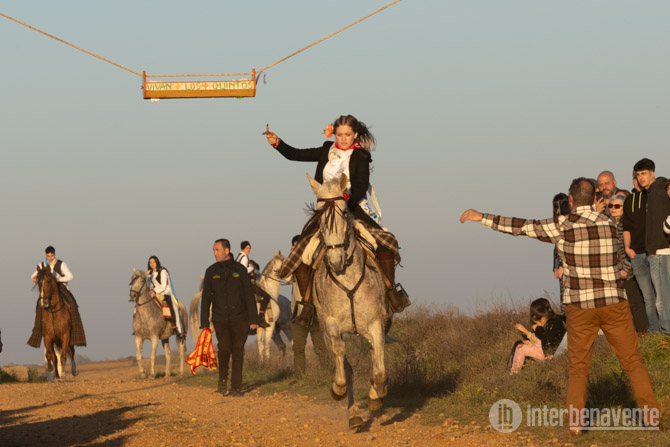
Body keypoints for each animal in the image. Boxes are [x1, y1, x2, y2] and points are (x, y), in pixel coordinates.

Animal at [306, 173, 391, 430]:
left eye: (344, 211)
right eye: (318, 214)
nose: (336, 260)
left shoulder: (376, 323)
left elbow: (378, 362)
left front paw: (376, 395)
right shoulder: (331, 324)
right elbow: (343, 358)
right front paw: (338, 389)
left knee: (374, 355)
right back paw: (353, 415)